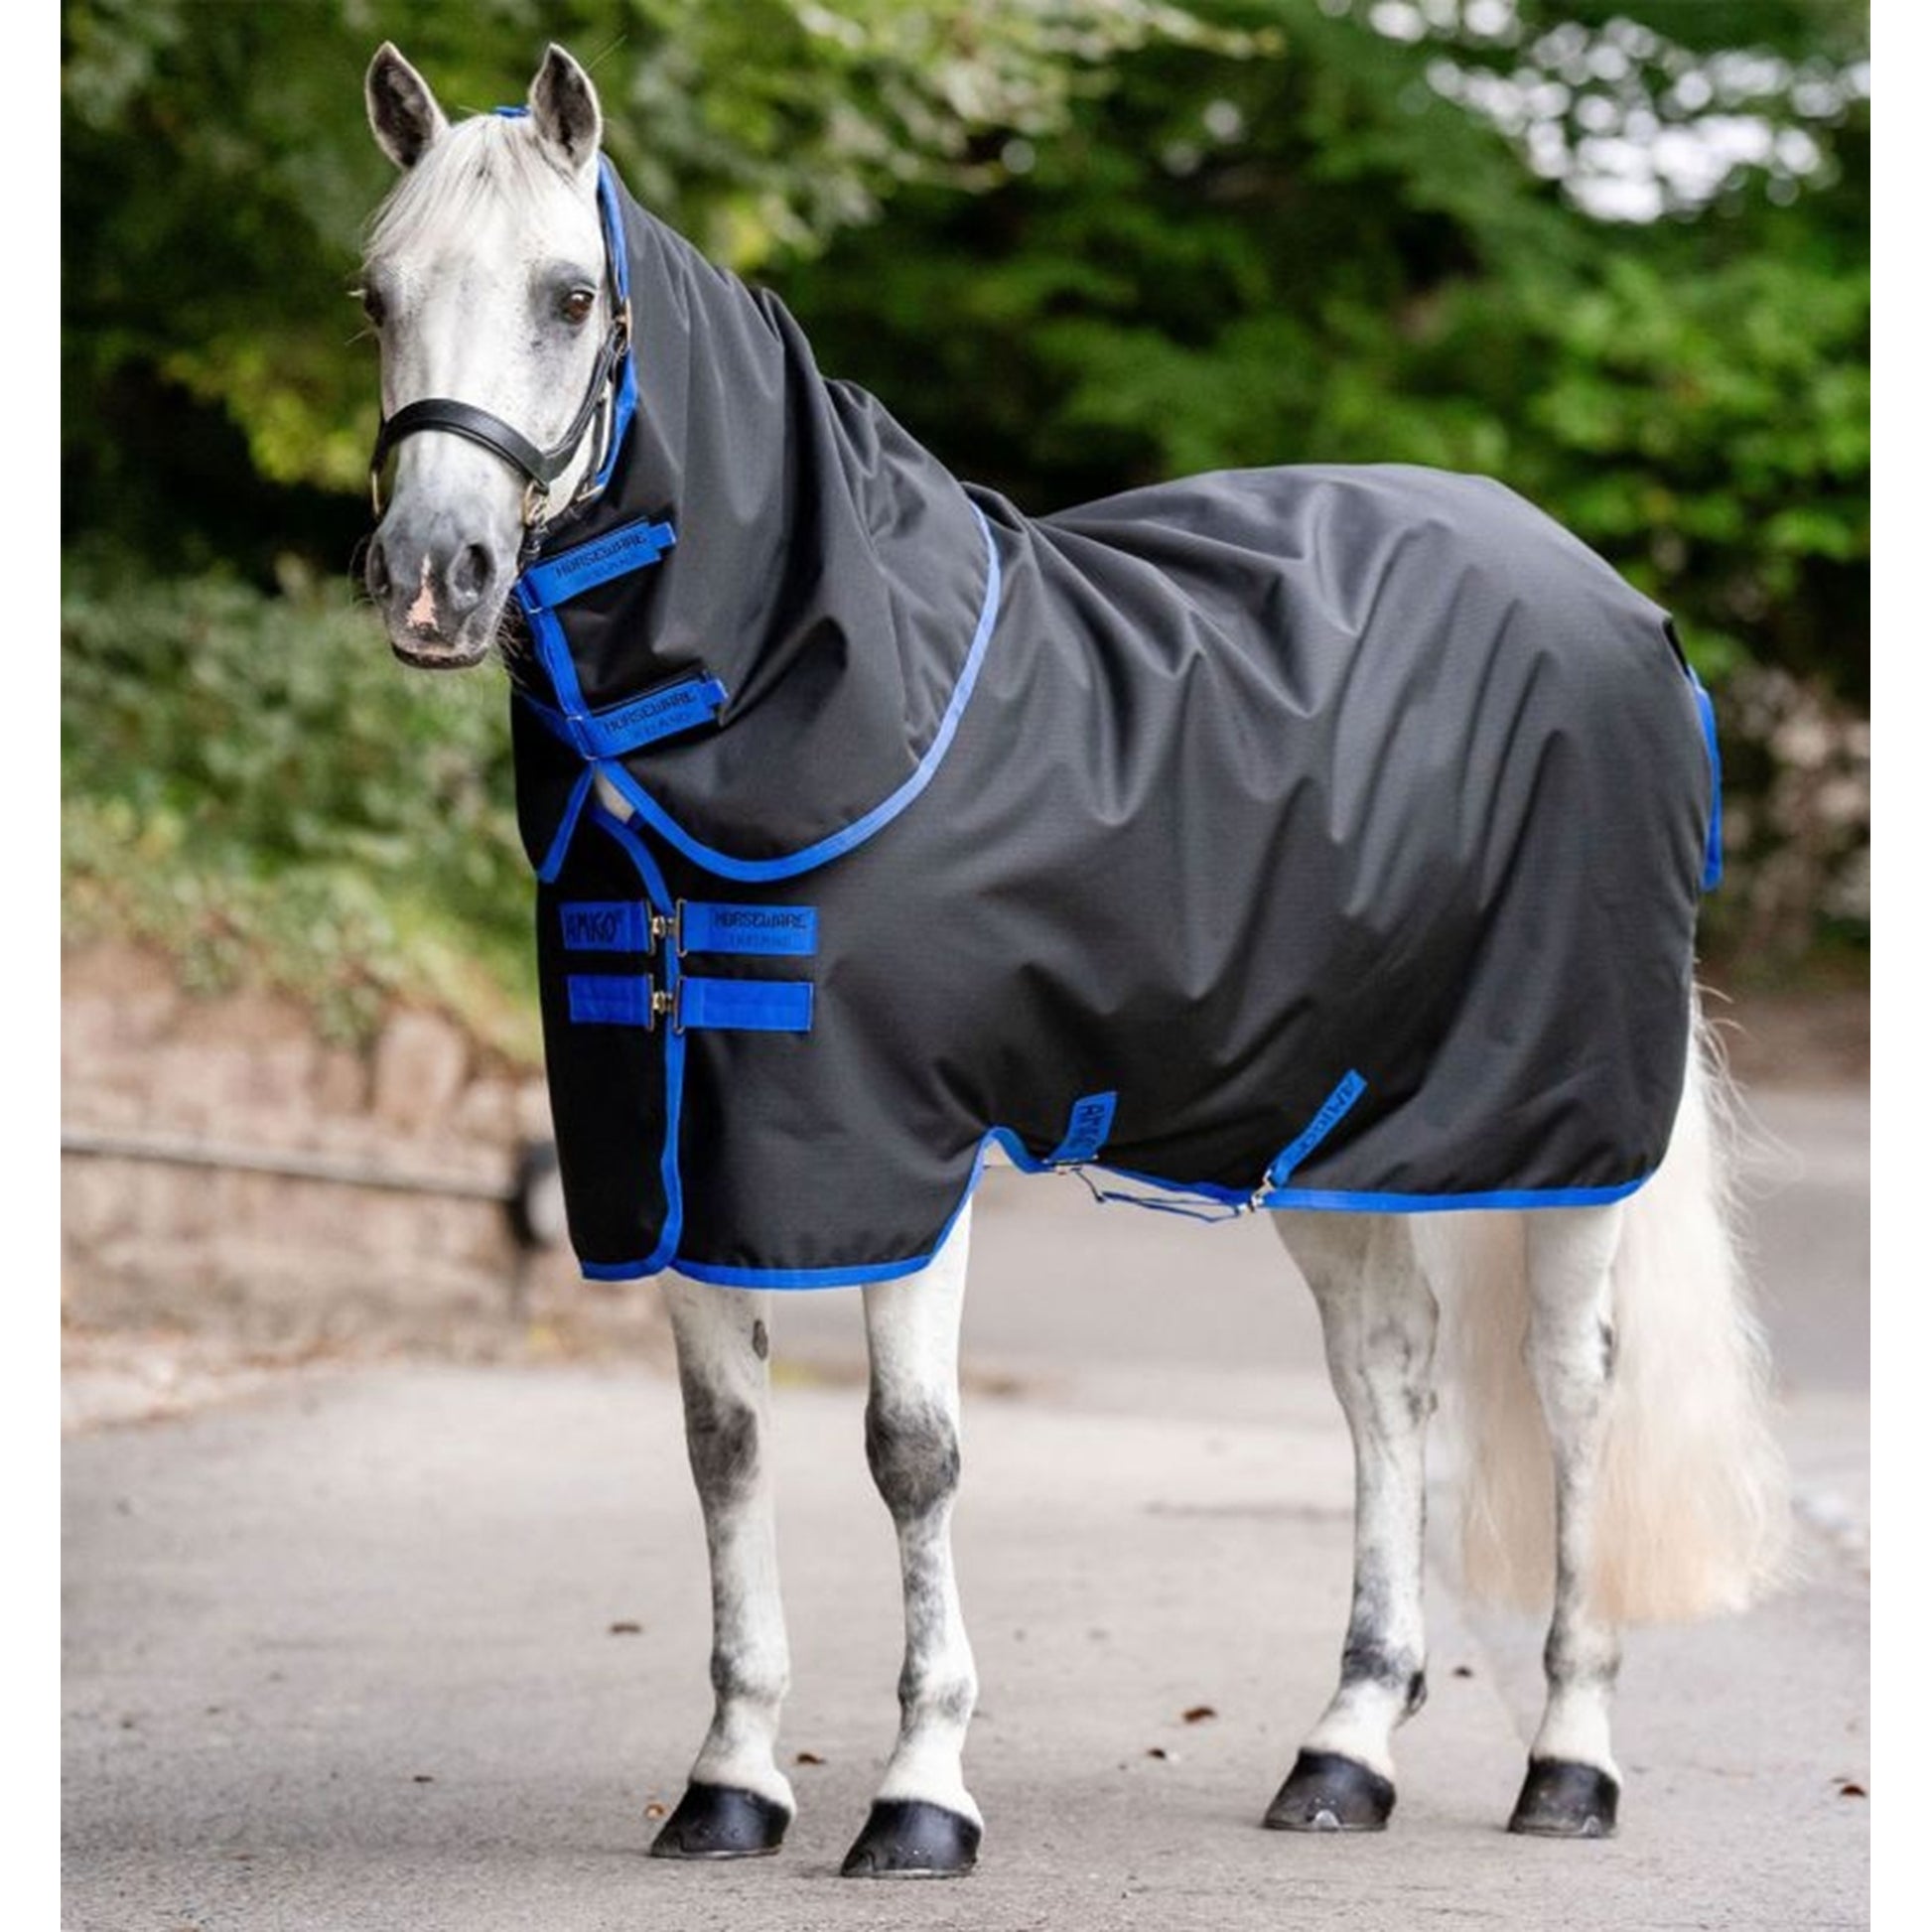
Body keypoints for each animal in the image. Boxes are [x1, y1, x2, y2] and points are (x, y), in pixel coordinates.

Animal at [356, 42, 1789, 1879]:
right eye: (374, 293)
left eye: (565, 294)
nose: (432, 578)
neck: (800, 692)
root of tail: (1626, 612)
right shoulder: (676, 1149)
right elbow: (723, 1449)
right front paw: (731, 1779)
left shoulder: (899, 1149)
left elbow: (910, 1452)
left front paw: (920, 1793)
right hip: (1326, 1123)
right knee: (1385, 1378)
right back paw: (1343, 1749)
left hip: (1569, 1127)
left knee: (1575, 1388)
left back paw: (1569, 1758)